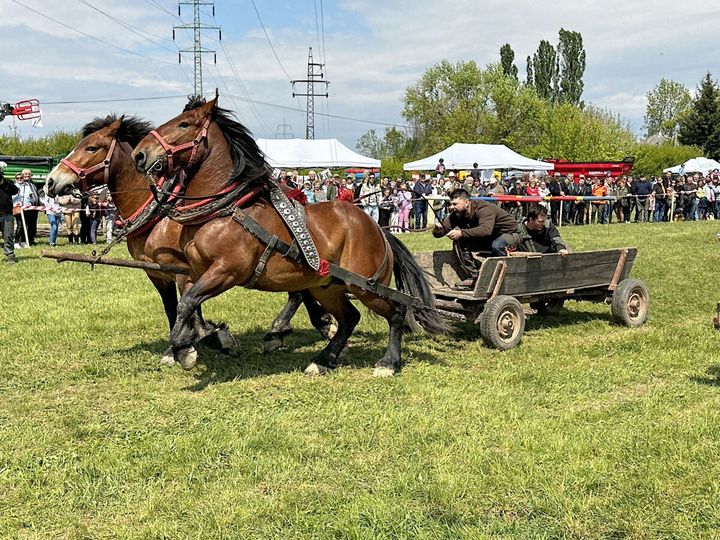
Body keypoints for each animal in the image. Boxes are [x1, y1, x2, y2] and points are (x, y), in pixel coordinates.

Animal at [46, 115, 334, 364]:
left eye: (91, 147)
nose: (50, 181)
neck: (160, 215)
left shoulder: (182, 267)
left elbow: (189, 306)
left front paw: (204, 341)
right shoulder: (158, 272)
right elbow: (173, 307)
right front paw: (195, 340)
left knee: (299, 288)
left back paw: (291, 327)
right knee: (299, 287)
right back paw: (296, 327)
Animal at [129, 97, 444, 376]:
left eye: (184, 124)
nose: (140, 154)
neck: (224, 210)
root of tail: (377, 228)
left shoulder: (226, 271)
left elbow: (186, 304)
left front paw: (184, 347)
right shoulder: (191, 271)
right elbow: (188, 306)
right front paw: (201, 341)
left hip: (367, 286)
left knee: (396, 312)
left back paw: (388, 362)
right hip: (327, 287)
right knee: (349, 318)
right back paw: (323, 360)